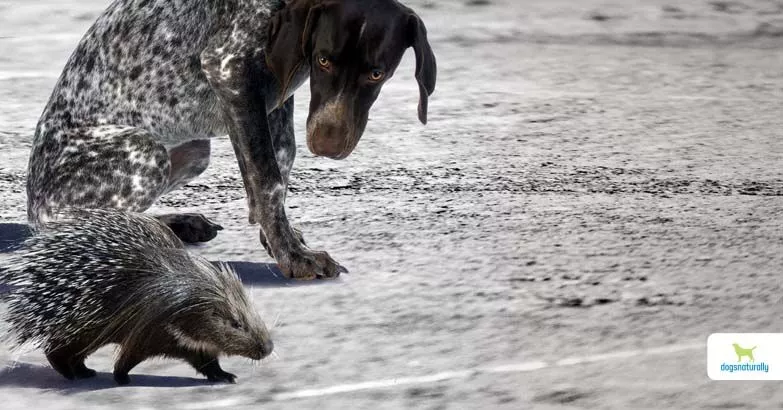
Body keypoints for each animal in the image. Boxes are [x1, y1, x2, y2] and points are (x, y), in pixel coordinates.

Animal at [27, 0, 438, 278]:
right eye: (323, 60)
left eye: (376, 73)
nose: (327, 147)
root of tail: (33, 208)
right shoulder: (230, 73)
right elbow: (268, 177)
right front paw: (293, 257)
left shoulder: (275, 92)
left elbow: (280, 163)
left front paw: (279, 239)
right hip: (147, 151)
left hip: (193, 151)